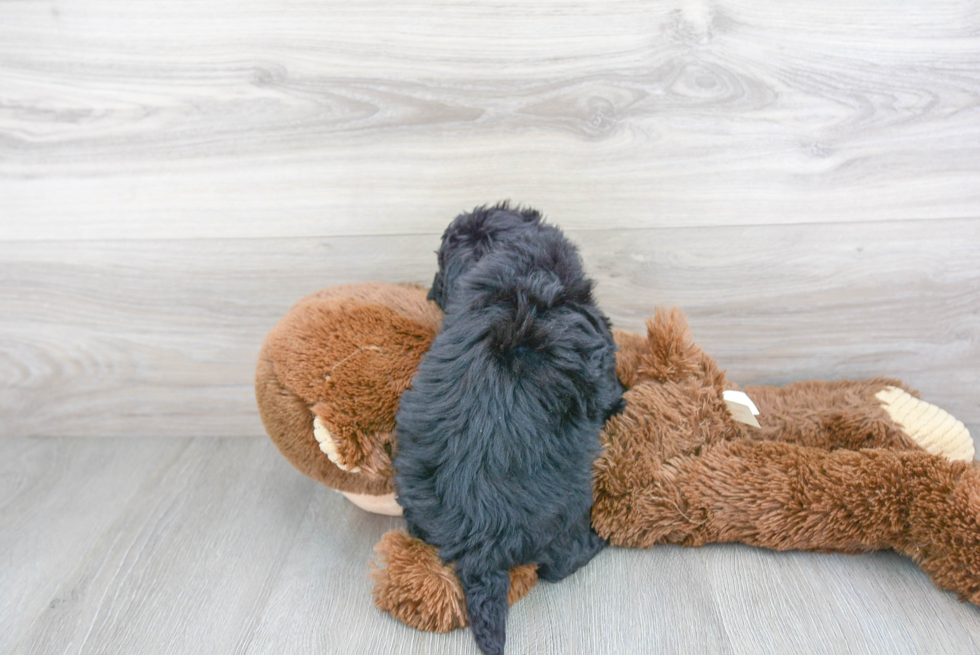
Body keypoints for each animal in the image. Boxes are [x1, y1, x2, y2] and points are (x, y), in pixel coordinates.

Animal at [390, 204, 620, 655]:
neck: (513, 265)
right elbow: (609, 388)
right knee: (558, 564)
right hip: (565, 510)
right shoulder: (599, 352)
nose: (431, 294)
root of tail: (478, 545)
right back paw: (597, 540)